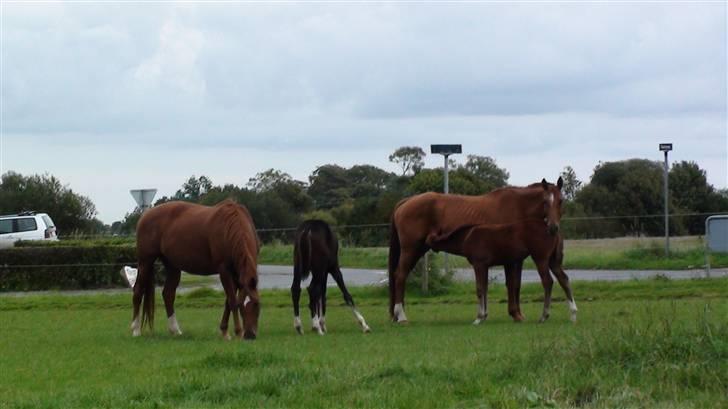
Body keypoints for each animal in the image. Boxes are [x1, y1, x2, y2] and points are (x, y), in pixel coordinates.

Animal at [132, 200, 262, 338]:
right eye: (242, 307)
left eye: (257, 304)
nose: (250, 335)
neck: (230, 226)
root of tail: (145, 215)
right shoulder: (224, 270)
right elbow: (232, 300)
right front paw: (237, 332)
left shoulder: (237, 274)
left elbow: (229, 301)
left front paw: (224, 330)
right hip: (145, 262)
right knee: (138, 290)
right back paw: (136, 330)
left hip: (172, 266)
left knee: (168, 294)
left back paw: (175, 330)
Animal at [386, 178, 564, 322]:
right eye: (545, 202)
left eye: (561, 201)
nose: (553, 227)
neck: (518, 206)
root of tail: (407, 201)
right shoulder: (509, 259)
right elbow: (511, 284)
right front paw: (515, 314)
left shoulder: (516, 259)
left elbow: (516, 285)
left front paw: (517, 314)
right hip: (410, 249)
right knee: (400, 276)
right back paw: (401, 316)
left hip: (417, 250)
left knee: (400, 276)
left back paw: (397, 314)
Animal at [424, 218, 576, 326]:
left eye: (428, 241)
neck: (467, 237)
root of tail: (553, 229)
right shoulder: (485, 266)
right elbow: (485, 289)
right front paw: (484, 316)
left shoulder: (478, 265)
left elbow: (480, 289)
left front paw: (478, 318)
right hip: (553, 261)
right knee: (564, 279)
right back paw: (573, 314)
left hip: (541, 259)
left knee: (547, 282)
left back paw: (544, 316)